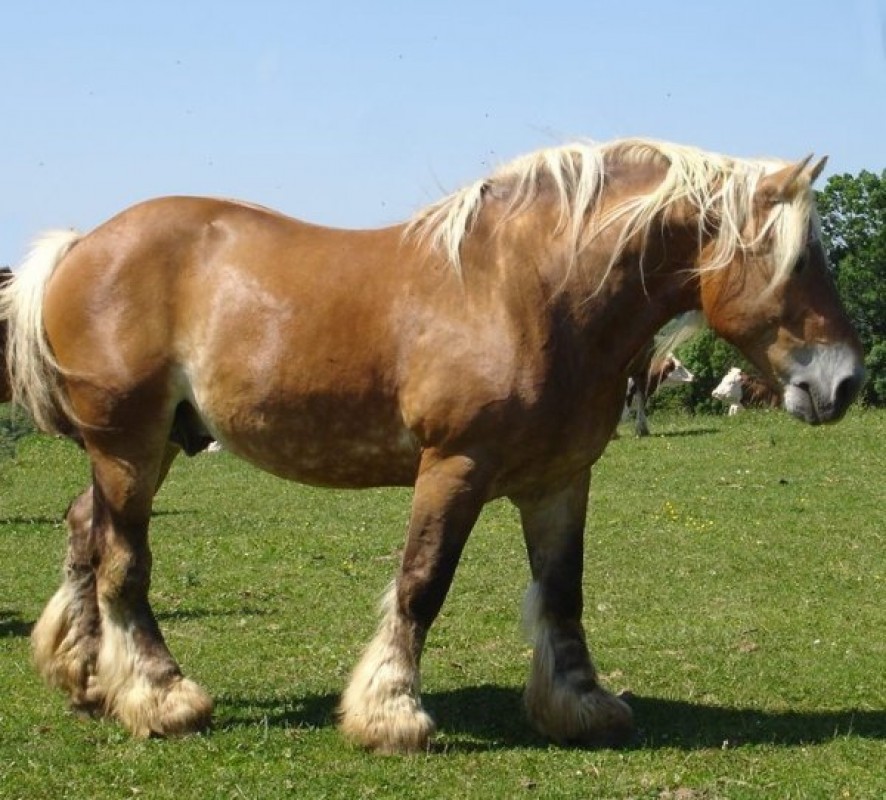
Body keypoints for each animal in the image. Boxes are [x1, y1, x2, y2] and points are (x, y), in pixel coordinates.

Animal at [0, 138, 864, 752]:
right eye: (793, 260)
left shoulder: (558, 479)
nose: (846, 382)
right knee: (122, 564)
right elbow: (422, 583)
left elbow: (563, 592)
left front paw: (580, 705)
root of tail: (82, 246)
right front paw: (391, 712)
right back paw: (161, 697)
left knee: (84, 535)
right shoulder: (455, 466)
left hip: (146, 449)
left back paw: (85, 678)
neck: (530, 292)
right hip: (129, 446)